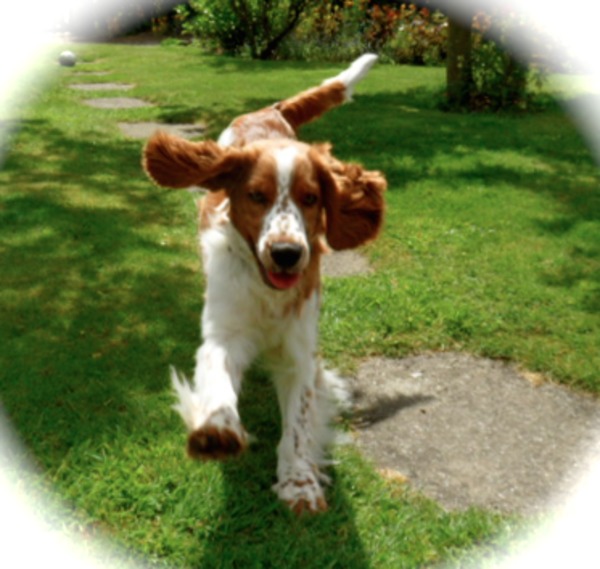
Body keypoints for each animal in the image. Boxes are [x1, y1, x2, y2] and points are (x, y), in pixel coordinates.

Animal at [142, 54, 384, 516]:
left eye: (310, 198)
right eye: (256, 196)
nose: (286, 253)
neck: (268, 292)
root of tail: (267, 111)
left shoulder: (300, 353)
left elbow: (299, 423)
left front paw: (299, 482)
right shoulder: (224, 335)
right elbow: (217, 382)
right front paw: (216, 430)